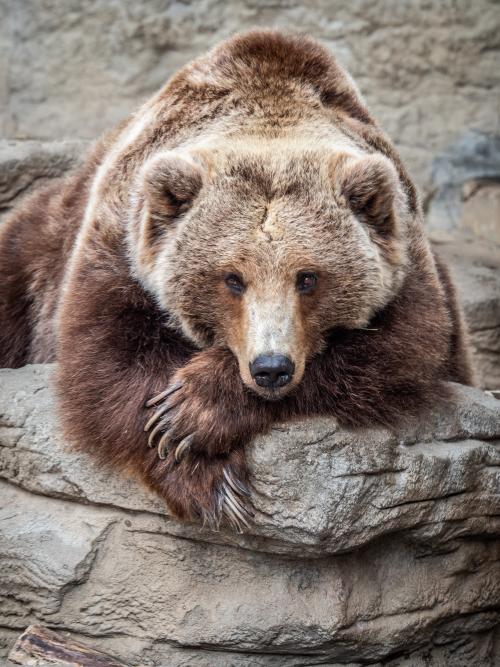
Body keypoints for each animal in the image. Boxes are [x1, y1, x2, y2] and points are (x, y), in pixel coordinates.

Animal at [0, 31, 472, 532]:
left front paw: (193, 410)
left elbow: (397, 348)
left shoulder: (410, 262)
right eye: (232, 278)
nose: (271, 367)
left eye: (308, 277)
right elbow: (107, 357)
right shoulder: (117, 245)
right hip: (40, 245)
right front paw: (205, 475)